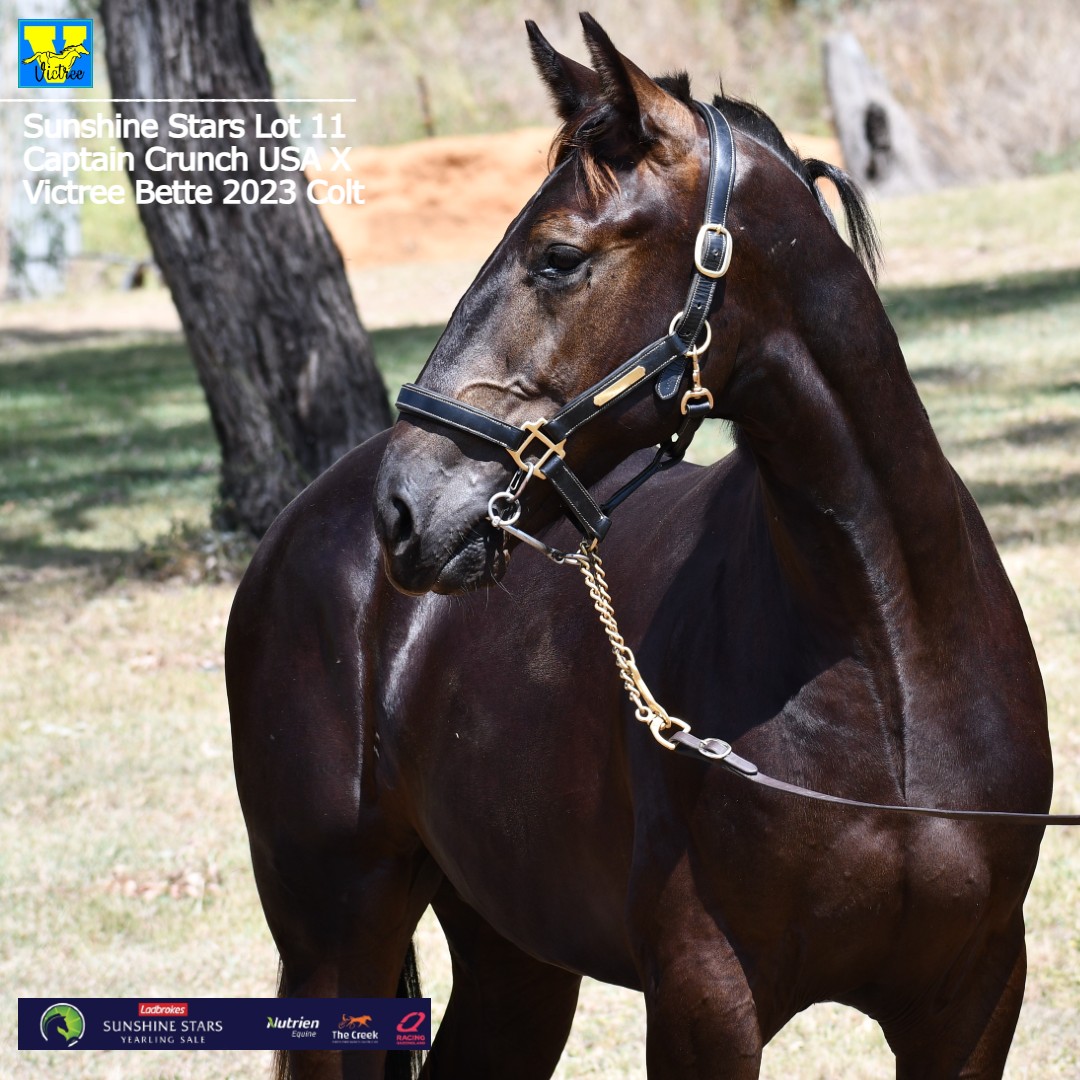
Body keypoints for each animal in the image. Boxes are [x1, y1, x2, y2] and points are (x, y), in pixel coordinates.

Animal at [225, 14, 1052, 1079]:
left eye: (557, 258)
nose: (406, 508)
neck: (891, 659)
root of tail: (304, 523)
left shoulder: (973, 999)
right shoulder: (704, 996)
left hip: (514, 955)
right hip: (337, 943)